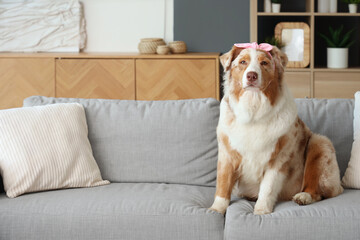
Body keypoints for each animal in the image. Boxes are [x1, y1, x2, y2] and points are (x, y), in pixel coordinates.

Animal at [210, 42, 342, 215]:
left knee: (318, 190)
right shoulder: (227, 153)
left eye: (264, 63)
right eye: (243, 62)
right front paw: (216, 209)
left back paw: (303, 196)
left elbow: (268, 188)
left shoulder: (279, 158)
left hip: (320, 142)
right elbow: (223, 184)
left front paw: (261, 211)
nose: (251, 75)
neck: (253, 109)